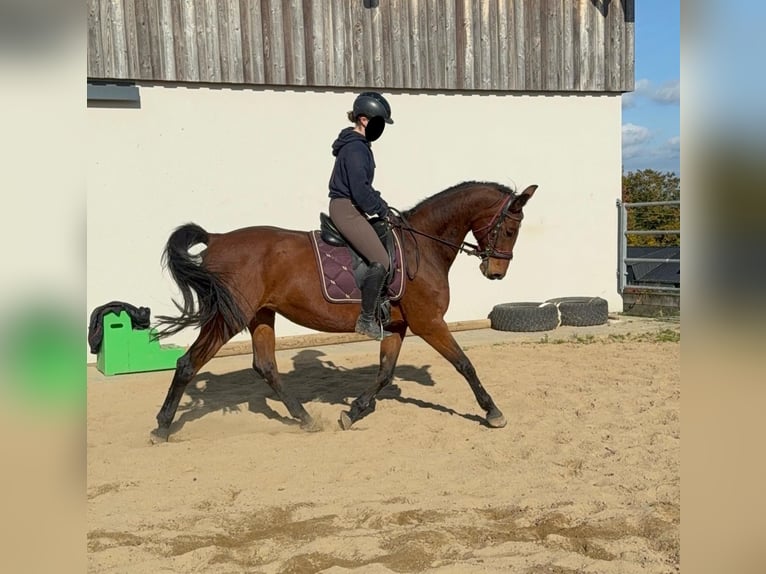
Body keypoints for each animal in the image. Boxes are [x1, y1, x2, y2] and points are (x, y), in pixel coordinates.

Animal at [151, 180, 537, 441]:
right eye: (511, 228)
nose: (496, 272)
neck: (423, 246)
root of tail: (216, 238)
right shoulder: (429, 322)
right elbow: (464, 364)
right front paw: (493, 412)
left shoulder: (397, 327)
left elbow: (385, 373)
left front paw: (354, 412)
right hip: (230, 317)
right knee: (188, 363)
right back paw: (163, 426)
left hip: (260, 315)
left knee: (266, 366)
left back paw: (305, 418)